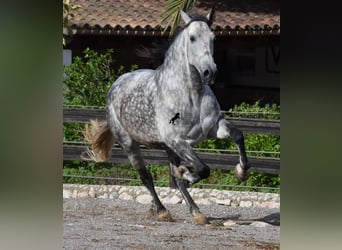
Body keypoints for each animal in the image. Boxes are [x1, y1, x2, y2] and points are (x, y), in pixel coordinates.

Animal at [83, 10, 248, 225]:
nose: (209, 73)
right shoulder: (177, 140)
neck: (191, 95)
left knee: (174, 178)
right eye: (192, 38)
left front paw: (241, 172)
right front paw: (187, 174)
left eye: (213, 38)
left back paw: (197, 212)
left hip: (169, 150)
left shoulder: (213, 128)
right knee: (146, 177)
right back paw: (162, 210)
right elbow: (203, 169)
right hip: (130, 144)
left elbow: (238, 135)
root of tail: (117, 84)